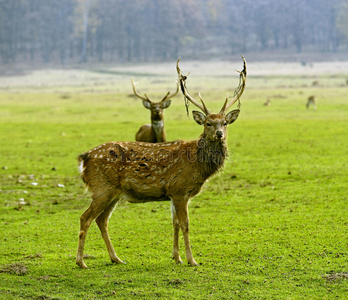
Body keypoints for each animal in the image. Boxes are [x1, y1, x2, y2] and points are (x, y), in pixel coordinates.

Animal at [75, 55, 246, 268]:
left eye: (225, 122)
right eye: (208, 123)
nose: (219, 133)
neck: (198, 167)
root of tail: (84, 158)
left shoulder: (173, 193)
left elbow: (175, 224)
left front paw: (177, 257)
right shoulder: (180, 189)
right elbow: (185, 225)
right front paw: (192, 260)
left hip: (113, 192)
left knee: (102, 220)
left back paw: (116, 258)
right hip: (101, 187)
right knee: (85, 218)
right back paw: (81, 262)